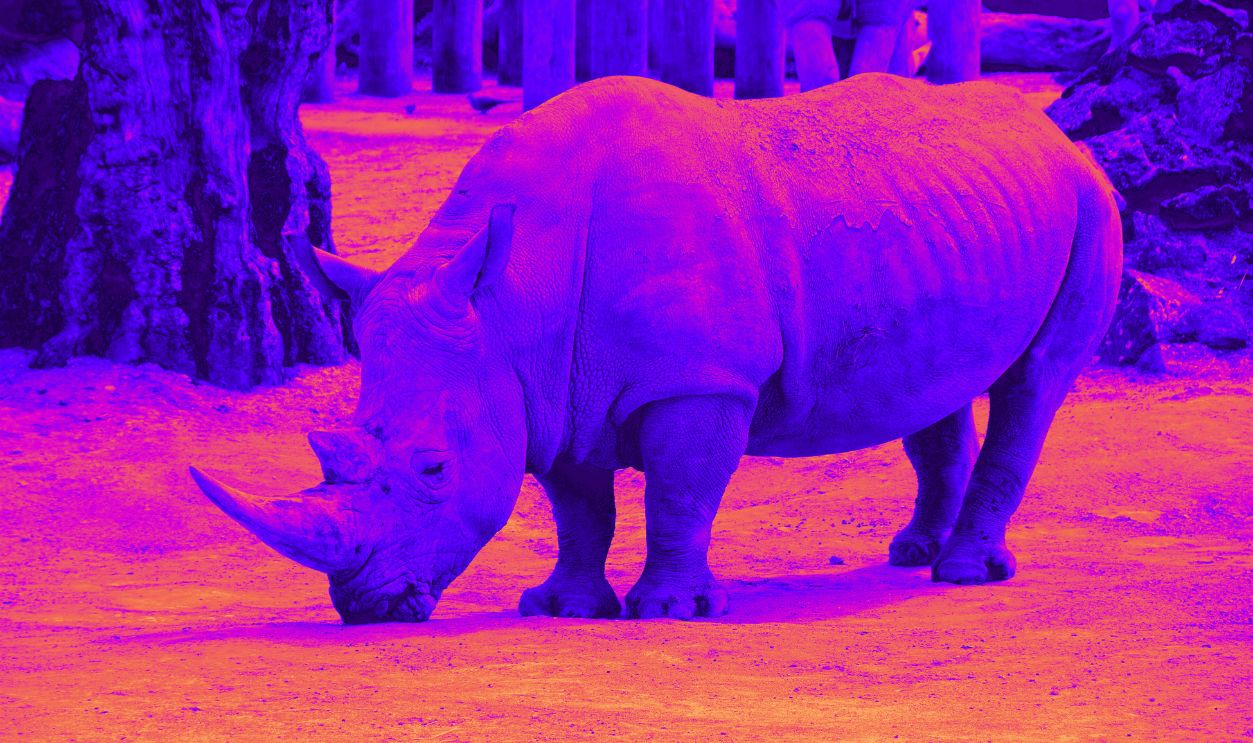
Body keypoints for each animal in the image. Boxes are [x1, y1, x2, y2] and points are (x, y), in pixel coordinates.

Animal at [190, 74, 1121, 623]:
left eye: (432, 468)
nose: (365, 605)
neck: (508, 301)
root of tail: (1047, 128)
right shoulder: (543, 385)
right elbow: (577, 505)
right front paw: (560, 606)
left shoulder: (698, 381)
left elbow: (680, 490)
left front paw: (669, 609)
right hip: (950, 216)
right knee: (938, 382)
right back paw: (913, 553)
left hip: (1090, 198)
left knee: (1033, 383)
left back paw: (962, 574)